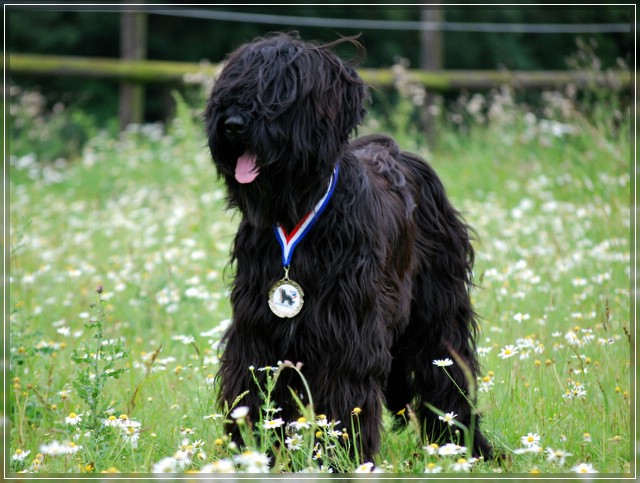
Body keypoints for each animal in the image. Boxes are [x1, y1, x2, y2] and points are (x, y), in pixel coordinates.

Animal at [205, 33, 490, 466]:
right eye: (233, 81)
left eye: (280, 91)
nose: (233, 123)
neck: (300, 209)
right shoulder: (256, 327)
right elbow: (251, 391)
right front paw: (253, 456)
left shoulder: (348, 328)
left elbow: (346, 394)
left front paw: (344, 459)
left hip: (438, 311)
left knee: (448, 373)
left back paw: (468, 448)